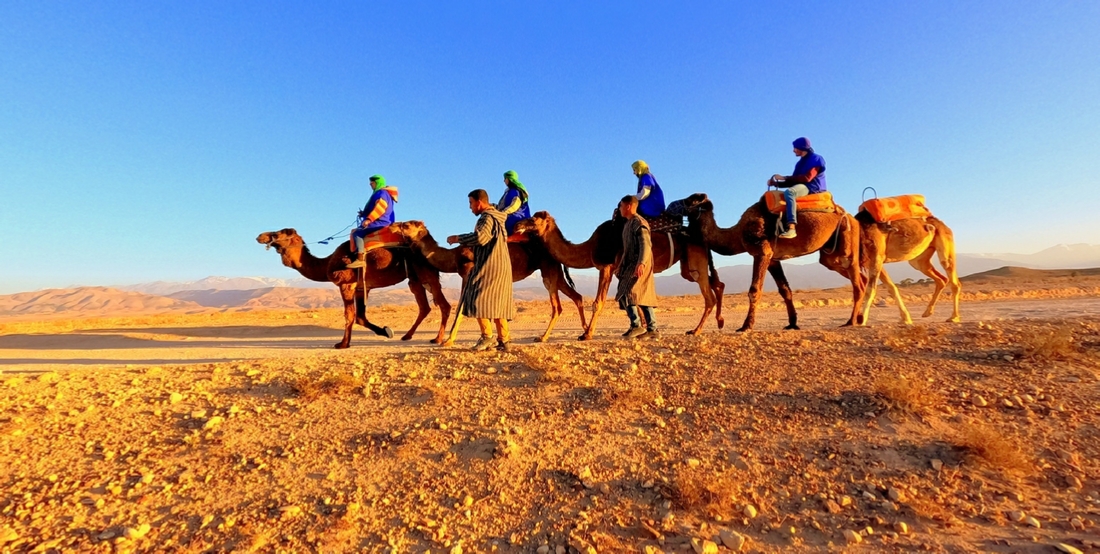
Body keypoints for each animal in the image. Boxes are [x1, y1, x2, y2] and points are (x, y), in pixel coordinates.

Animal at [255, 227, 448, 347]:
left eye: (278, 233)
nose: (260, 236)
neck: (327, 264)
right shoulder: (362, 288)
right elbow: (360, 317)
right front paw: (386, 331)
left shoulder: (346, 284)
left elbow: (349, 315)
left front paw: (342, 344)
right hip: (415, 279)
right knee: (425, 306)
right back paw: (407, 335)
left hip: (427, 273)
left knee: (443, 305)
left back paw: (437, 339)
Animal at [391, 219, 589, 342]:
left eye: (407, 224)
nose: (393, 225)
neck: (454, 257)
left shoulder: (467, 273)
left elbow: (462, 308)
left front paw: (448, 340)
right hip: (555, 270)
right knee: (577, 296)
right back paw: (584, 331)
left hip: (548, 270)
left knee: (557, 306)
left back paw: (543, 337)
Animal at [512, 212, 726, 340]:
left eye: (534, 219)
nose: (516, 225)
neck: (590, 247)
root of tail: (702, 238)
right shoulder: (619, 271)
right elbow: (633, 300)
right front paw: (640, 330)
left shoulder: (605, 267)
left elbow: (598, 302)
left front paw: (587, 334)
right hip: (687, 266)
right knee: (716, 283)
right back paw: (720, 321)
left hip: (695, 258)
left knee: (708, 294)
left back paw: (696, 330)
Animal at [677, 192, 866, 331]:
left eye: (691, 199)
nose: (674, 204)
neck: (737, 235)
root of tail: (851, 216)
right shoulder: (774, 259)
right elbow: (785, 290)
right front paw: (792, 323)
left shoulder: (761, 251)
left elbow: (754, 290)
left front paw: (746, 326)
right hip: (830, 254)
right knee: (854, 275)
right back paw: (860, 318)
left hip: (847, 238)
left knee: (856, 280)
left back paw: (851, 321)